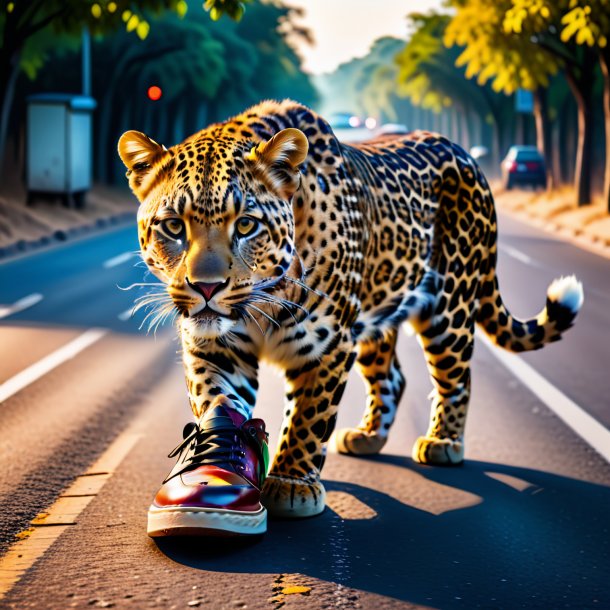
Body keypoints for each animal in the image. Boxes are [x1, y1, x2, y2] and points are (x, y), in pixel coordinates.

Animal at [117, 100, 580, 516]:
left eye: (246, 225)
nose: (207, 287)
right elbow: (218, 402)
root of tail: (468, 155)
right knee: (392, 378)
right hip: (377, 316)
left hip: (450, 306)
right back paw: (369, 435)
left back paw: (443, 442)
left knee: (456, 377)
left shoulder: (327, 344)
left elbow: (309, 416)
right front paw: (216, 473)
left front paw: (292, 483)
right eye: (173, 226)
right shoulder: (215, 347)